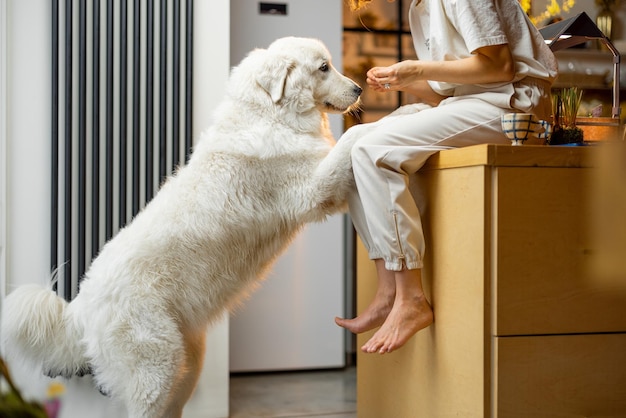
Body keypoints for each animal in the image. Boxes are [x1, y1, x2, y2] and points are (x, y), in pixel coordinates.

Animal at [1, 37, 360, 416]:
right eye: (323, 67)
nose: (359, 89)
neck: (270, 113)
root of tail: (80, 307)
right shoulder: (313, 190)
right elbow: (350, 140)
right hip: (156, 369)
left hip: (186, 367)